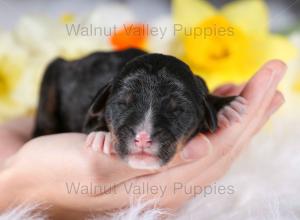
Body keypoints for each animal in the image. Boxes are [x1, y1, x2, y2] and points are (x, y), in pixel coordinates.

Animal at [33, 48, 246, 168]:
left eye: (177, 110)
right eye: (122, 104)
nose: (143, 137)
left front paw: (225, 105)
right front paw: (103, 136)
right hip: (52, 77)